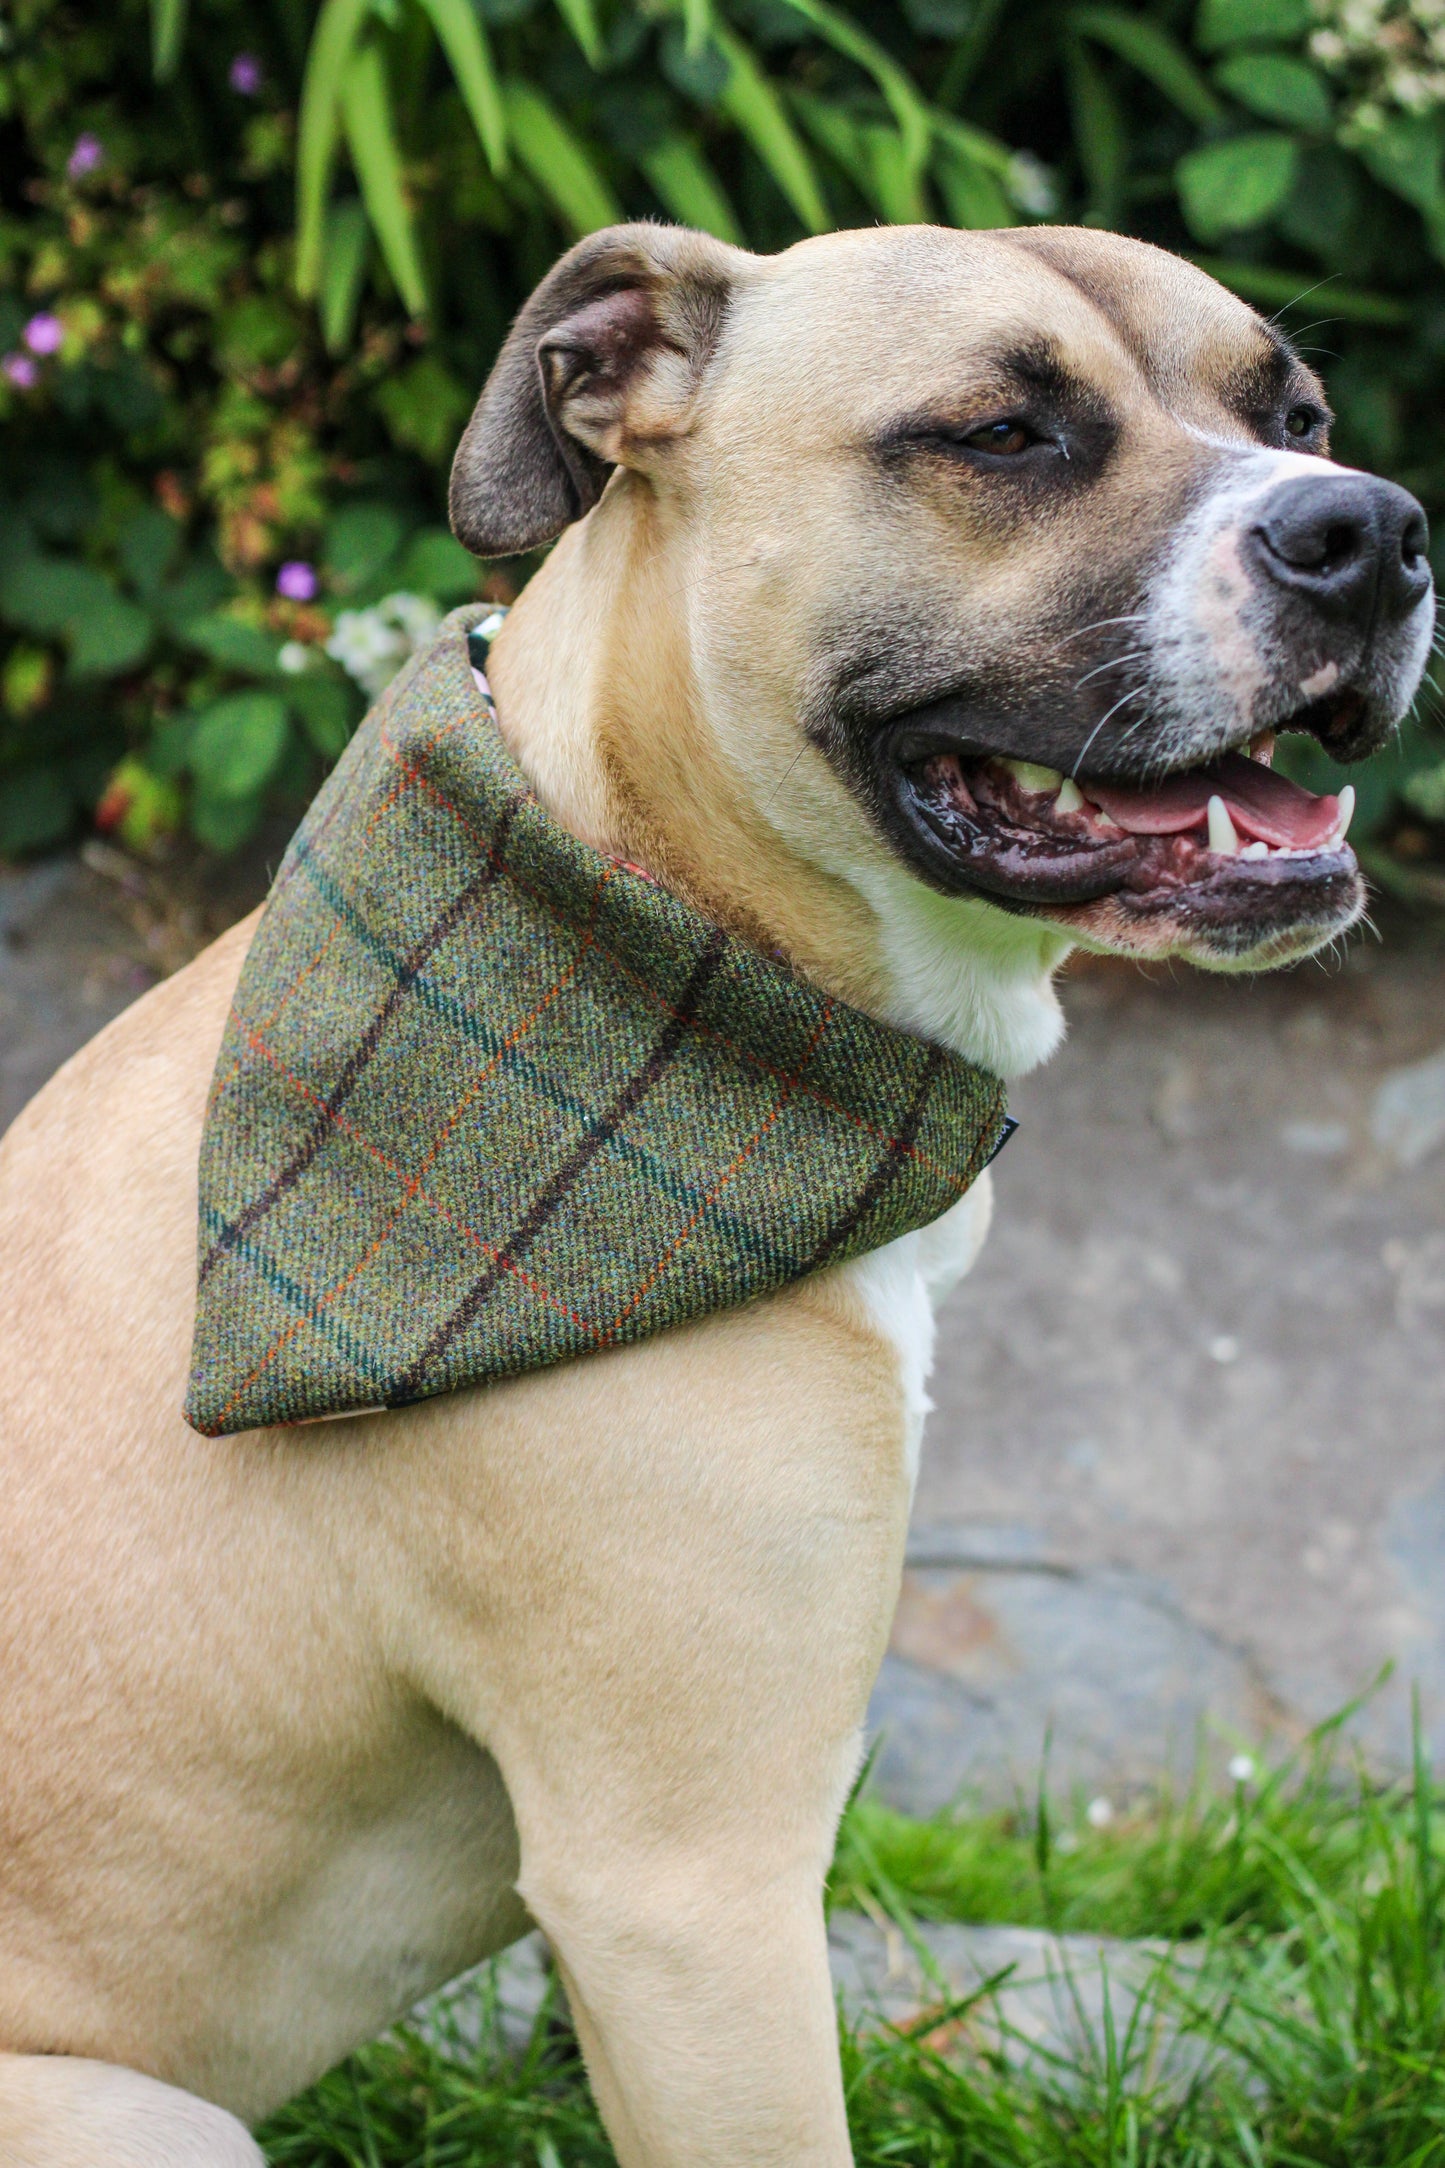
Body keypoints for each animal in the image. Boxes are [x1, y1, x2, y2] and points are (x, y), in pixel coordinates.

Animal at [0, 224, 1429, 2168]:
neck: (648, 902)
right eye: (999, 431)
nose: (1372, 529)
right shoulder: (691, 1894)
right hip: (151, 2121)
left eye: (1297, 417)